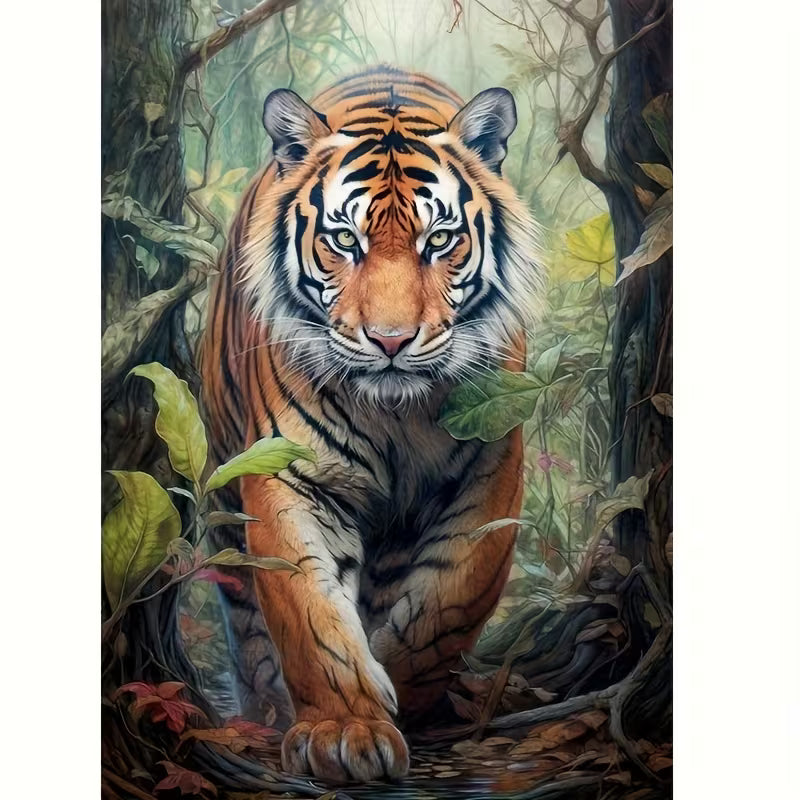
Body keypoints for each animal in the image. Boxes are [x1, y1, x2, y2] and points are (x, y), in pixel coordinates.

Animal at [200, 65, 545, 782]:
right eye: (343, 240)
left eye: (438, 240)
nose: (390, 341)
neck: (396, 415)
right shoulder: (291, 476)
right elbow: (310, 616)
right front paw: (344, 732)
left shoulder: (489, 475)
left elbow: (444, 611)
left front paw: (398, 693)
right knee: (246, 619)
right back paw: (265, 708)